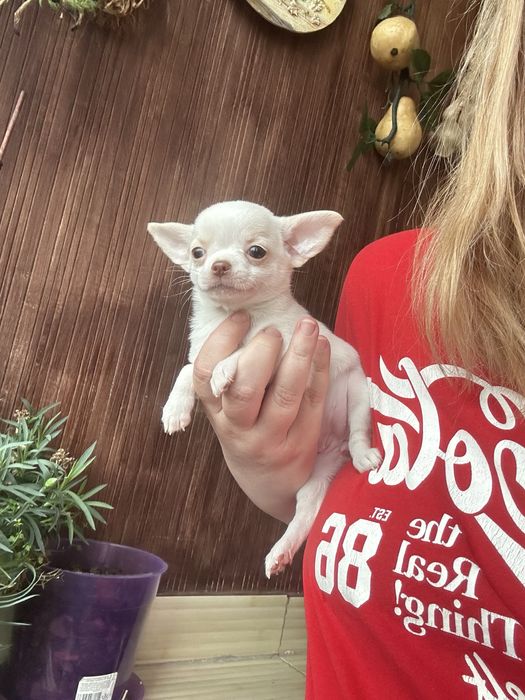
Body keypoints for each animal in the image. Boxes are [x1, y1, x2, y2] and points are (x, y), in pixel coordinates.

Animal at [148, 201, 381, 577]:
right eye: (197, 253)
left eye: (256, 251)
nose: (219, 264)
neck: (238, 314)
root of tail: (337, 447)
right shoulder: (201, 351)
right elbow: (187, 370)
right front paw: (175, 409)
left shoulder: (285, 344)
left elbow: (244, 352)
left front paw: (224, 368)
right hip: (317, 475)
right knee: (306, 508)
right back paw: (281, 551)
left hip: (358, 390)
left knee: (360, 429)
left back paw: (364, 455)